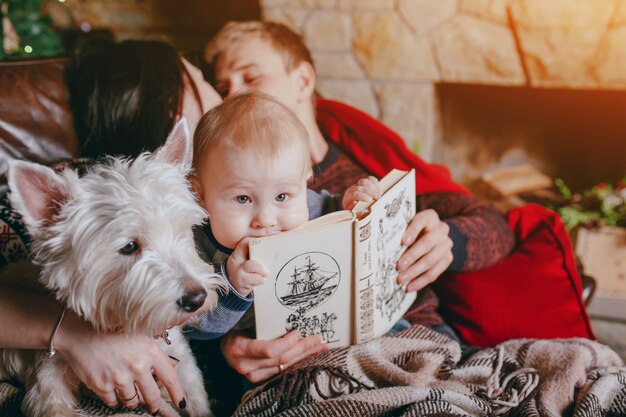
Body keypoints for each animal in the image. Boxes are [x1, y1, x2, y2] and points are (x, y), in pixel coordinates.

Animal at [0, 118, 224, 414]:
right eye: (129, 247)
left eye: (181, 230)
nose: (196, 299)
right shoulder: (46, 382)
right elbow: (54, 404)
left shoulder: (181, 361)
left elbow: (196, 399)